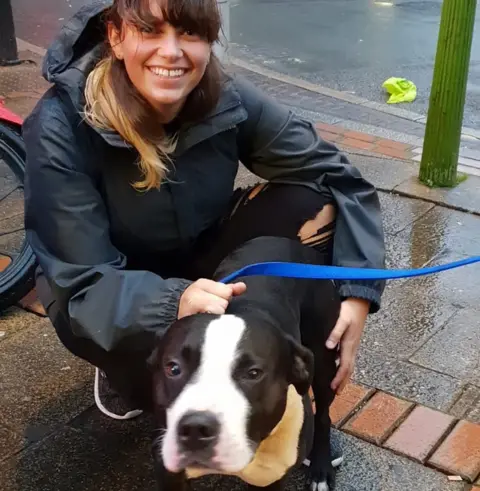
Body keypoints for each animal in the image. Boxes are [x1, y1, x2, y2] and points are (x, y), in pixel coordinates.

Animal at [150, 236, 342, 490]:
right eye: (173, 368)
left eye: (253, 373)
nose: (195, 428)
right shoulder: (169, 474)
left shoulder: (272, 477)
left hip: (323, 359)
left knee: (323, 414)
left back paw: (321, 467)